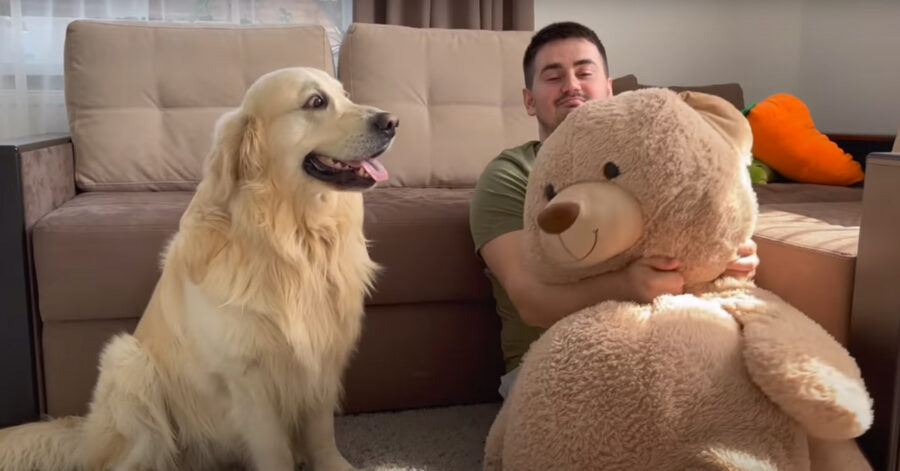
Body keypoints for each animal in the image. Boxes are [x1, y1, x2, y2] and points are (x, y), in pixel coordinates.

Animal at [0, 66, 398, 471]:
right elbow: (274, 449)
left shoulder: (321, 357)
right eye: (316, 101)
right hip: (129, 365)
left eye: (345, 94)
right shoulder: (248, 377)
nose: (391, 121)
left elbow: (321, 436)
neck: (293, 239)